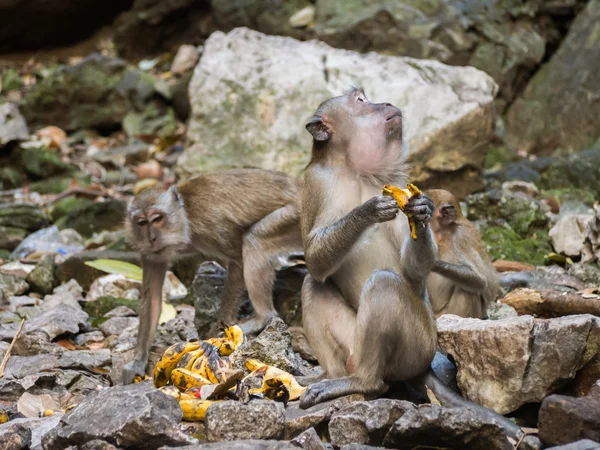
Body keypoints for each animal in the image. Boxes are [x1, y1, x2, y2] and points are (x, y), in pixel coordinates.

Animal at [122, 168, 302, 384]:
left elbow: (237, 259)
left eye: (157, 219)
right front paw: (137, 362)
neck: (185, 218)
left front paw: (217, 338)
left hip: (295, 217)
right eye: (141, 223)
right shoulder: (150, 253)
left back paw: (261, 318)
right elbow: (153, 300)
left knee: (254, 240)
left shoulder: (212, 226)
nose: (152, 238)